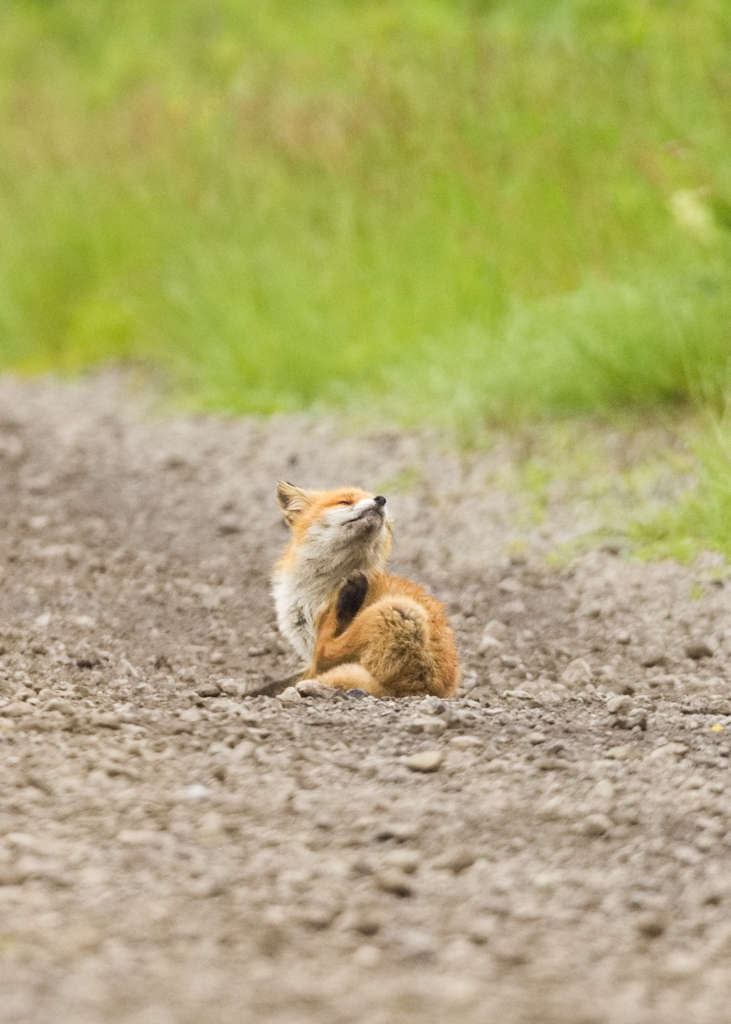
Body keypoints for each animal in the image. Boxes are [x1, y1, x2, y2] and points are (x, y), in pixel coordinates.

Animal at [270, 483, 458, 700]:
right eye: (345, 501)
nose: (381, 499)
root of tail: (427, 690)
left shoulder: (315, 652)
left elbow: (321, 658)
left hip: (399, 612)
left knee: (326, 652)